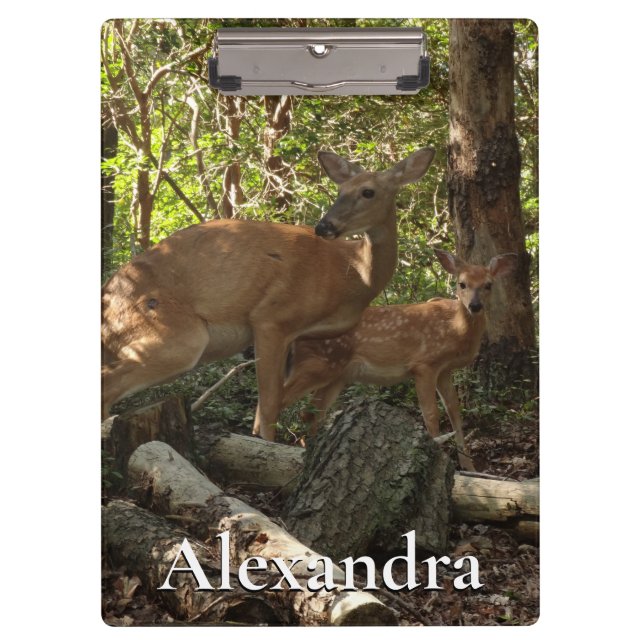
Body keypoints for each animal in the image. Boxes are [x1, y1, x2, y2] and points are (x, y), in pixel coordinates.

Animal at [101, 147, 436, 440]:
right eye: (340, 190)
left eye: (368, 192)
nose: (324, 226)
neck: (353, 272)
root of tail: (106, 303)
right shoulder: (272, 317)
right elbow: (271, 404)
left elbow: (269, 406)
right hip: (178, 335)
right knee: (108, 384)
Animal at [271, 248, 518, 470]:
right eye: (462, 284)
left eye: (488, 285)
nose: (475, 306)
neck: (455, 328)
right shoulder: (424, 364)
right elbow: (431, 414)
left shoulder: (444, 370)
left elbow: (454, 412)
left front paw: (470, 468)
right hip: (317, 364)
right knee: (279, 401)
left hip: (336, 375)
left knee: (311, 413)